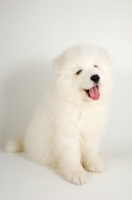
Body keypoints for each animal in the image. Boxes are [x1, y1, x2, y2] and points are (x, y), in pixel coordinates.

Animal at [5, 44, 112, 185]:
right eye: (78, 71)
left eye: (95, 66)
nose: (95, 77)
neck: (82, 105)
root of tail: (26, 139)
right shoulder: (67, 131)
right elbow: (71, 155)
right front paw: (76, 173)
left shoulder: (92, 129)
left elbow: (91, 150)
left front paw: (93, 164)